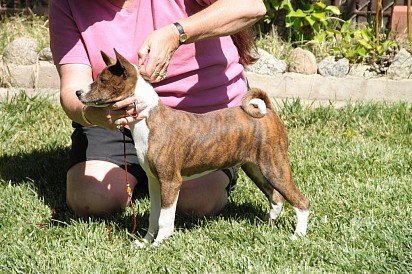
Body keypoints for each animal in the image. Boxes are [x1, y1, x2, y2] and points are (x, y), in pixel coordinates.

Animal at [76, 49, 308, 246]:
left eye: (102, 80)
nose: (78, 92)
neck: (148, 119)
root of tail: (268, 111)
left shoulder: (171, 181)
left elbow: (165, 219)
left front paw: (159, 245)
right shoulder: (154, 181)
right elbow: (154, 216)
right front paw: (145, 243)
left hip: (274, 167)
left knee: (301, 201)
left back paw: (297, 236)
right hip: (256, 168)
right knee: (276, 198)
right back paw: (267, 225)